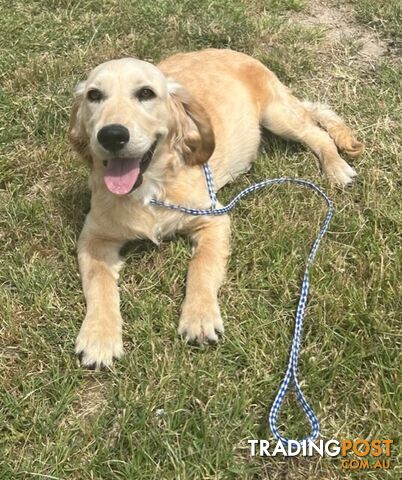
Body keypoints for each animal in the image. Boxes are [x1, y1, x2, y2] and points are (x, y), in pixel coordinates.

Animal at [67, 47, 362, 368]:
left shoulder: (214, 218)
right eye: (94, 95)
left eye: (146, 93)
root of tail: (233, 51)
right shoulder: (94, 237)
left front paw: (199, 317)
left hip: (278, 115)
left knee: (318, 134)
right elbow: (99, 283)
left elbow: (202, 266)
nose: (111, 135)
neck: (151, 189)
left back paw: (336, 168)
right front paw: (99, 337)